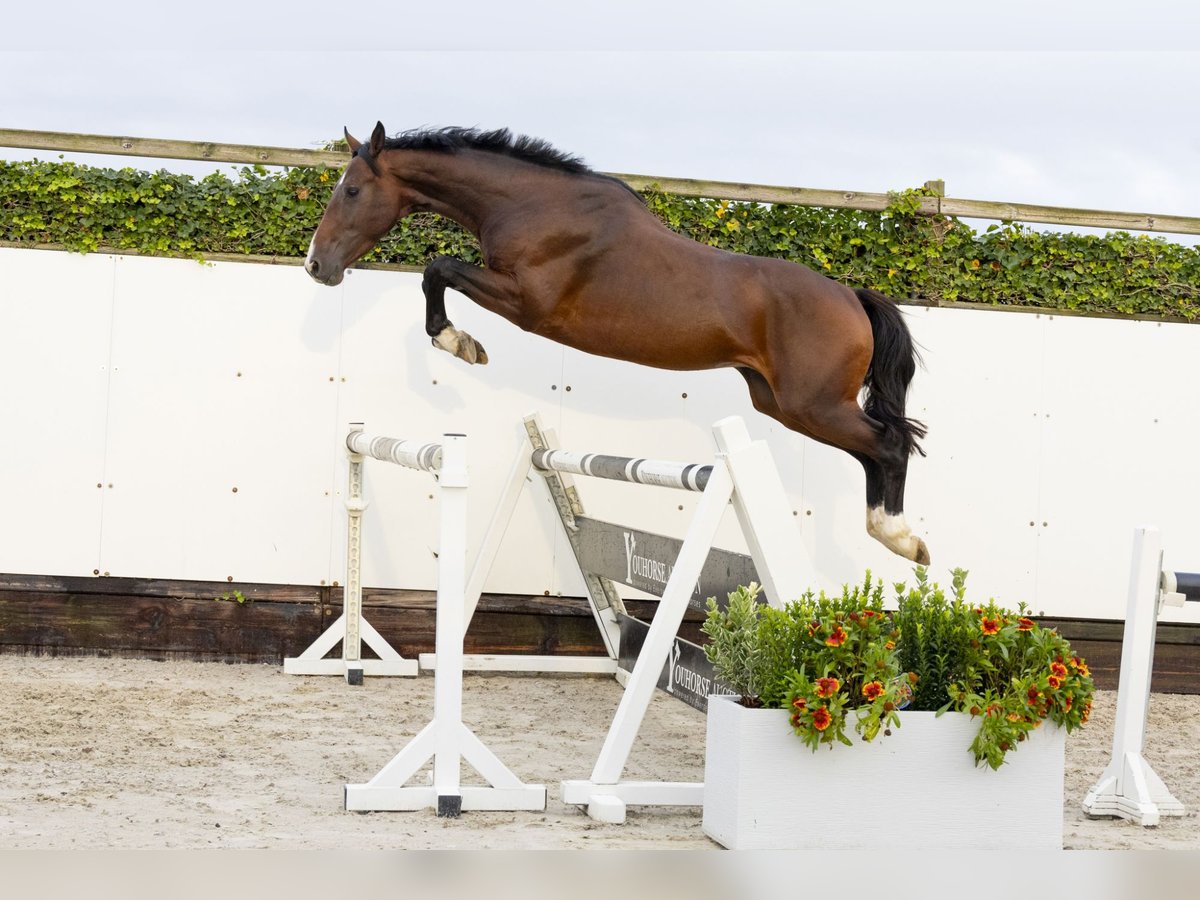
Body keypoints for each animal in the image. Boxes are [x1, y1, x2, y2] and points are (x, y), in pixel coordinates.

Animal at [307, 122, 926, 561]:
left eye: (353, 190)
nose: (318, 265)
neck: (532, 205)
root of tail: (851, 297)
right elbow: (437, 272)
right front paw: (459, 342)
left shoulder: (527, 304)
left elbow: (437, 269)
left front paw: (457, 342)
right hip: (781, 403)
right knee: (874, 449)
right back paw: (892, 534)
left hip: (813, 405)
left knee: (890, 444)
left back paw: (900, 539)